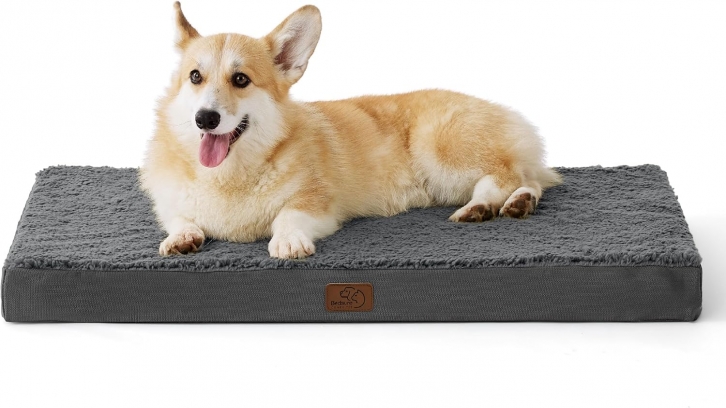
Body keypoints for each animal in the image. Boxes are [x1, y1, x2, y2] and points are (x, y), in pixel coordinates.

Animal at [140, 2, 561, 259]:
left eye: (240, 79)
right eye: (195, 76)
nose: (205, 119)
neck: (229, 176)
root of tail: (507, 112)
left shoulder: (319, 205)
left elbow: (286, 215)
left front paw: (288, 241)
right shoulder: (171, 203)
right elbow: (180, 218)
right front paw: (180, 238)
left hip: (441, 152)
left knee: (507, 174)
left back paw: (484, 206)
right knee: (532, 179)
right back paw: (517, 203)